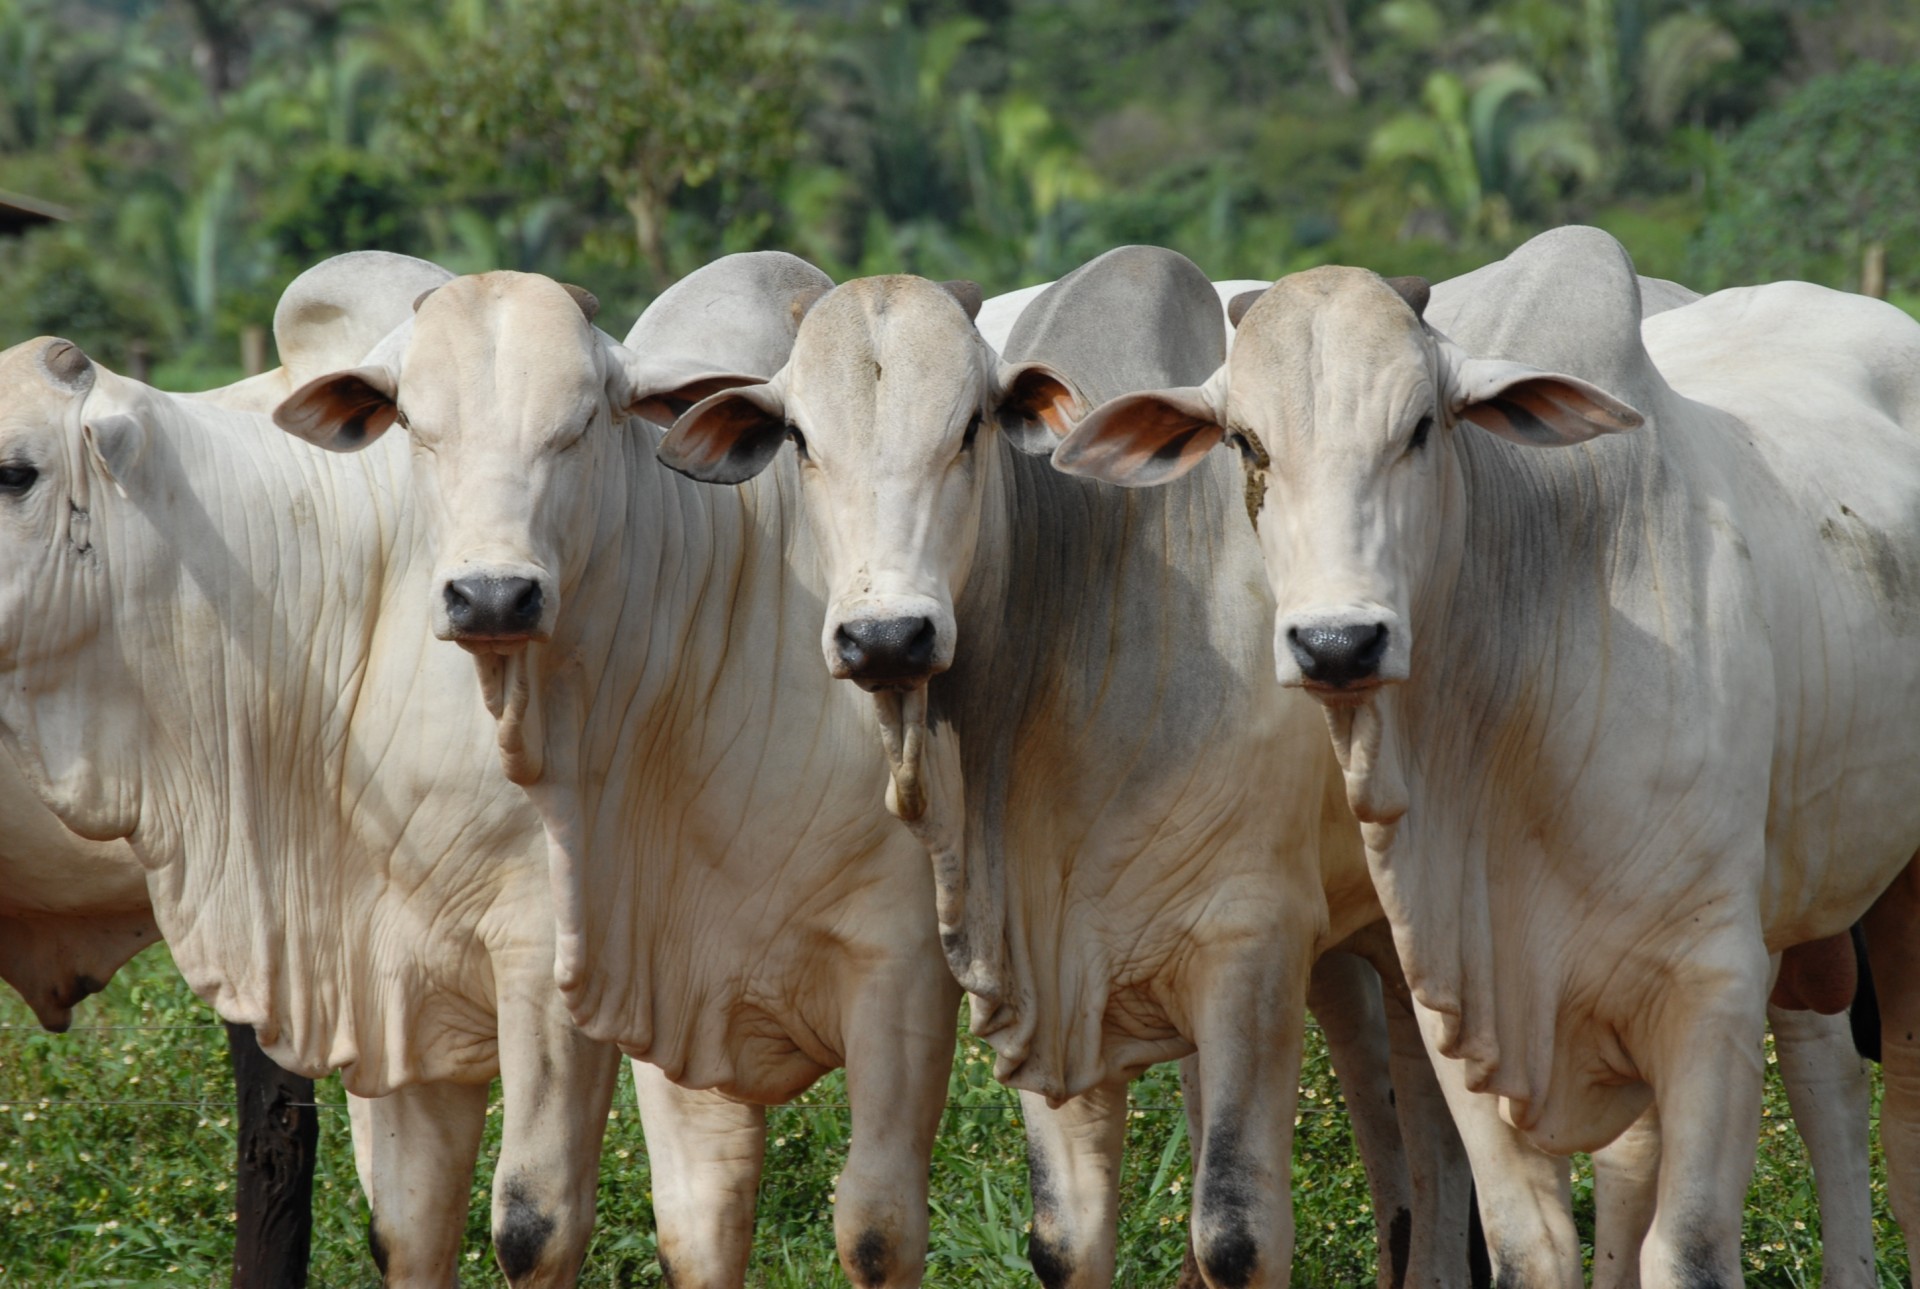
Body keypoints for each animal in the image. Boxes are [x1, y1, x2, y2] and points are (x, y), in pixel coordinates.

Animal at [278, 255, 967, 1289]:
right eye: (417, 427)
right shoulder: (642, 969)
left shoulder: (905, 968)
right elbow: (685, 1220)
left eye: (578, 425)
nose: (492, 595)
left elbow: (878, 1229)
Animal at [652, 244, 1474, 1289]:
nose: (887, 636)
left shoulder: (1251, 943)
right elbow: (1065, 1236)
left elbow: (1237, 1231)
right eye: (799, 437)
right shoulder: (1037, 969)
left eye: (969, 427)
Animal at [1059, 226, 1920, 1283]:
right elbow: (1527, 1246)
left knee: (1879, 1117)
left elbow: (1689, 1250)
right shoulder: (1464, 1006)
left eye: (1422, 427)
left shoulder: (1715, 989)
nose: (1338, 643)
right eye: (1247, 444)